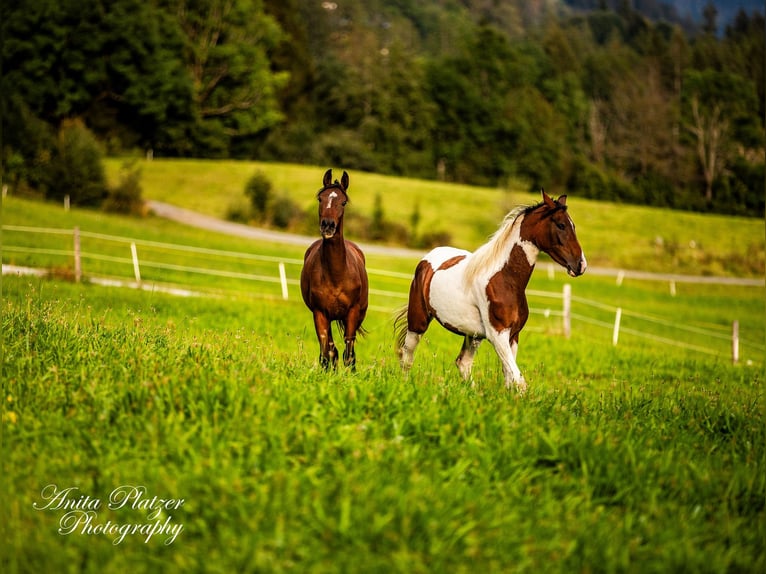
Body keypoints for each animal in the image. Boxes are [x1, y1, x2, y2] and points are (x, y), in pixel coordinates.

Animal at [302, 169, 370, 372]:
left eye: (343, 201)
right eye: (320, 198)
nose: (328, 226)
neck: (337, 275)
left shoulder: (353, 313)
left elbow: (349, 351)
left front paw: (351, 373)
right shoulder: (320, 313)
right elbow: (327, 351)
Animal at [396, 191, 588, 394]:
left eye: (573, 225)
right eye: (561, 225)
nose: (581, 265)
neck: (505, 279)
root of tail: (427, 258)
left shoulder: (513, 336)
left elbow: (510, 378)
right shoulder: (498, 335)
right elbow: (518, 380)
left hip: (472, 336)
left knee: (462, 363)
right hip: (418, 321)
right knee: (407, 356)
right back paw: (405, 386)